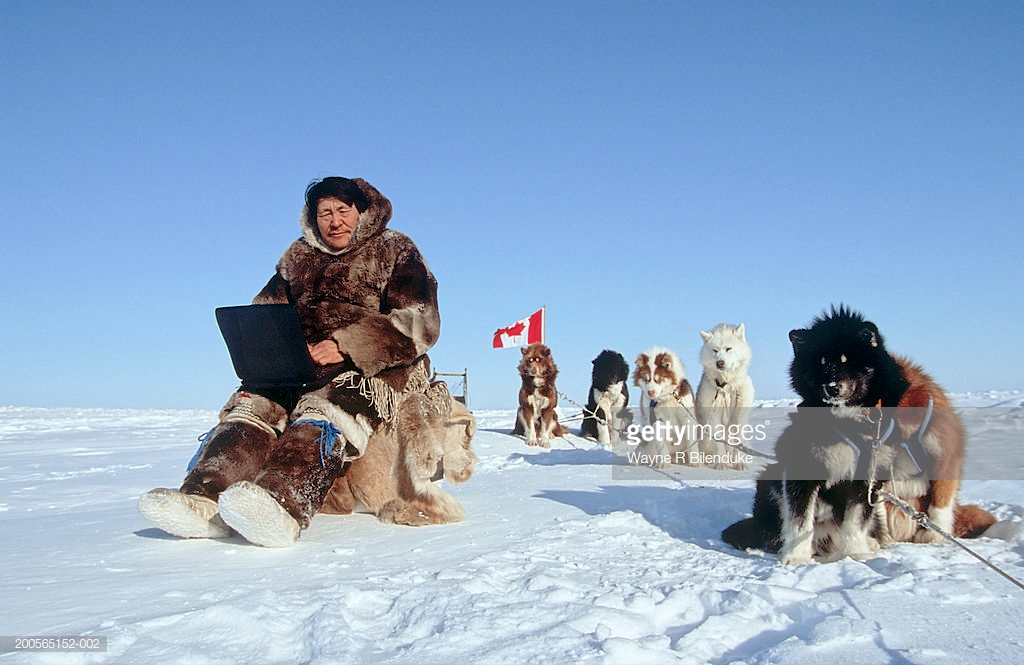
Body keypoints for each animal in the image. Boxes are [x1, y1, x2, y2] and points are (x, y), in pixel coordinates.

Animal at [692, 323, 757, 469]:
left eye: (728, 348)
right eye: (715, 350)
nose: (719, 362)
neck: (725, 387)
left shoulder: (739, 415)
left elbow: (738, 442)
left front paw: (740, 463)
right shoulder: (713, 415)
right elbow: (719, 443)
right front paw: (721, 463)